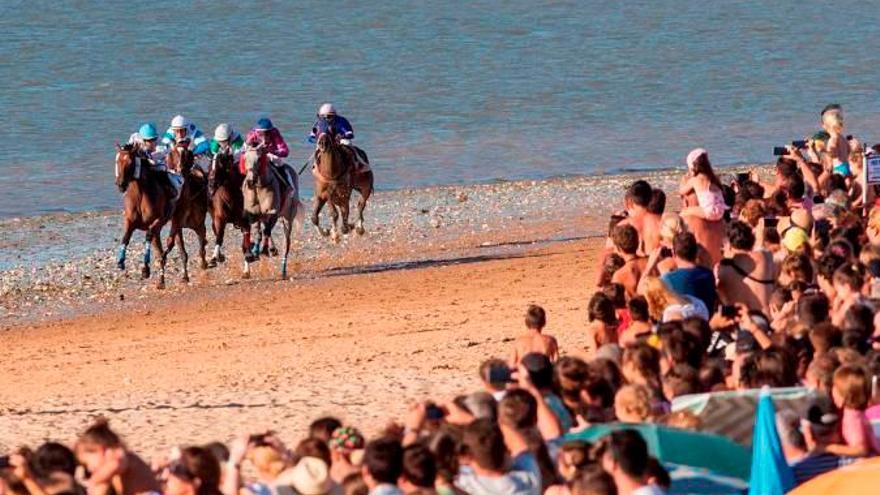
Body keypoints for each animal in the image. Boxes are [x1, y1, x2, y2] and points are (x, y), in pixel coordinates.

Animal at [113, 143, 172, 288]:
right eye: (117, 161)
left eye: (130, 163)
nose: (121, 184)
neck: (140, 194)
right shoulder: (130, 221)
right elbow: (125, 237)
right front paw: (120, 261)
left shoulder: (158, 220)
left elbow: (148, 236)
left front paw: (145, 269)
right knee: (161, 255)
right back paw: (161, 282)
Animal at [162, 143, 210, 282]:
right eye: (173, 154)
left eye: (185, 155)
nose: (180, 169)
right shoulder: (177, 227)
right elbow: (182, 252)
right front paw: (185, 276)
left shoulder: (200, 225)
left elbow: (201, 247)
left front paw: (204, 264)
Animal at [241, 146, 302, 280]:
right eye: (245, 157)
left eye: (259, 159)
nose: (250, 181)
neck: (259, 187)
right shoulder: (253, 214)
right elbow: (258, 233)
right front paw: (253, 254)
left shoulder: (273, 213)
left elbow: (266, 231)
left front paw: (263, 251)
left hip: (288, 217)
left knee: (286, 243)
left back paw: (283, 270)